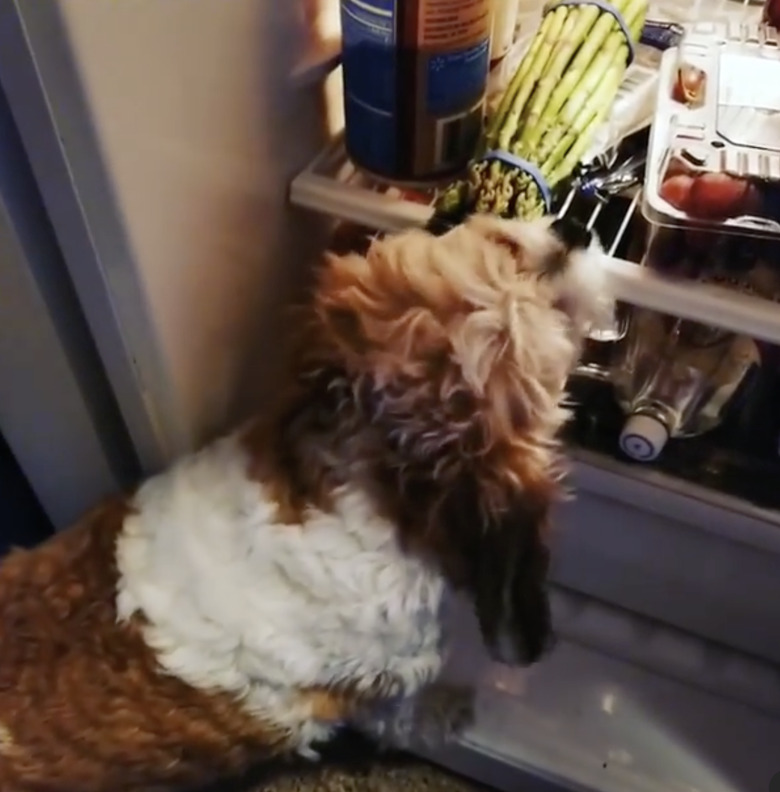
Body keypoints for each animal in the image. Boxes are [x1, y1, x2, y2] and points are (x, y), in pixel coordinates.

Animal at [0, 213, 612, 788]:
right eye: (552, 316)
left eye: (502, 241)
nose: (574, 229)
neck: (369, 477)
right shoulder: (391, 687)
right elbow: (408, 716)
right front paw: (456, 708)